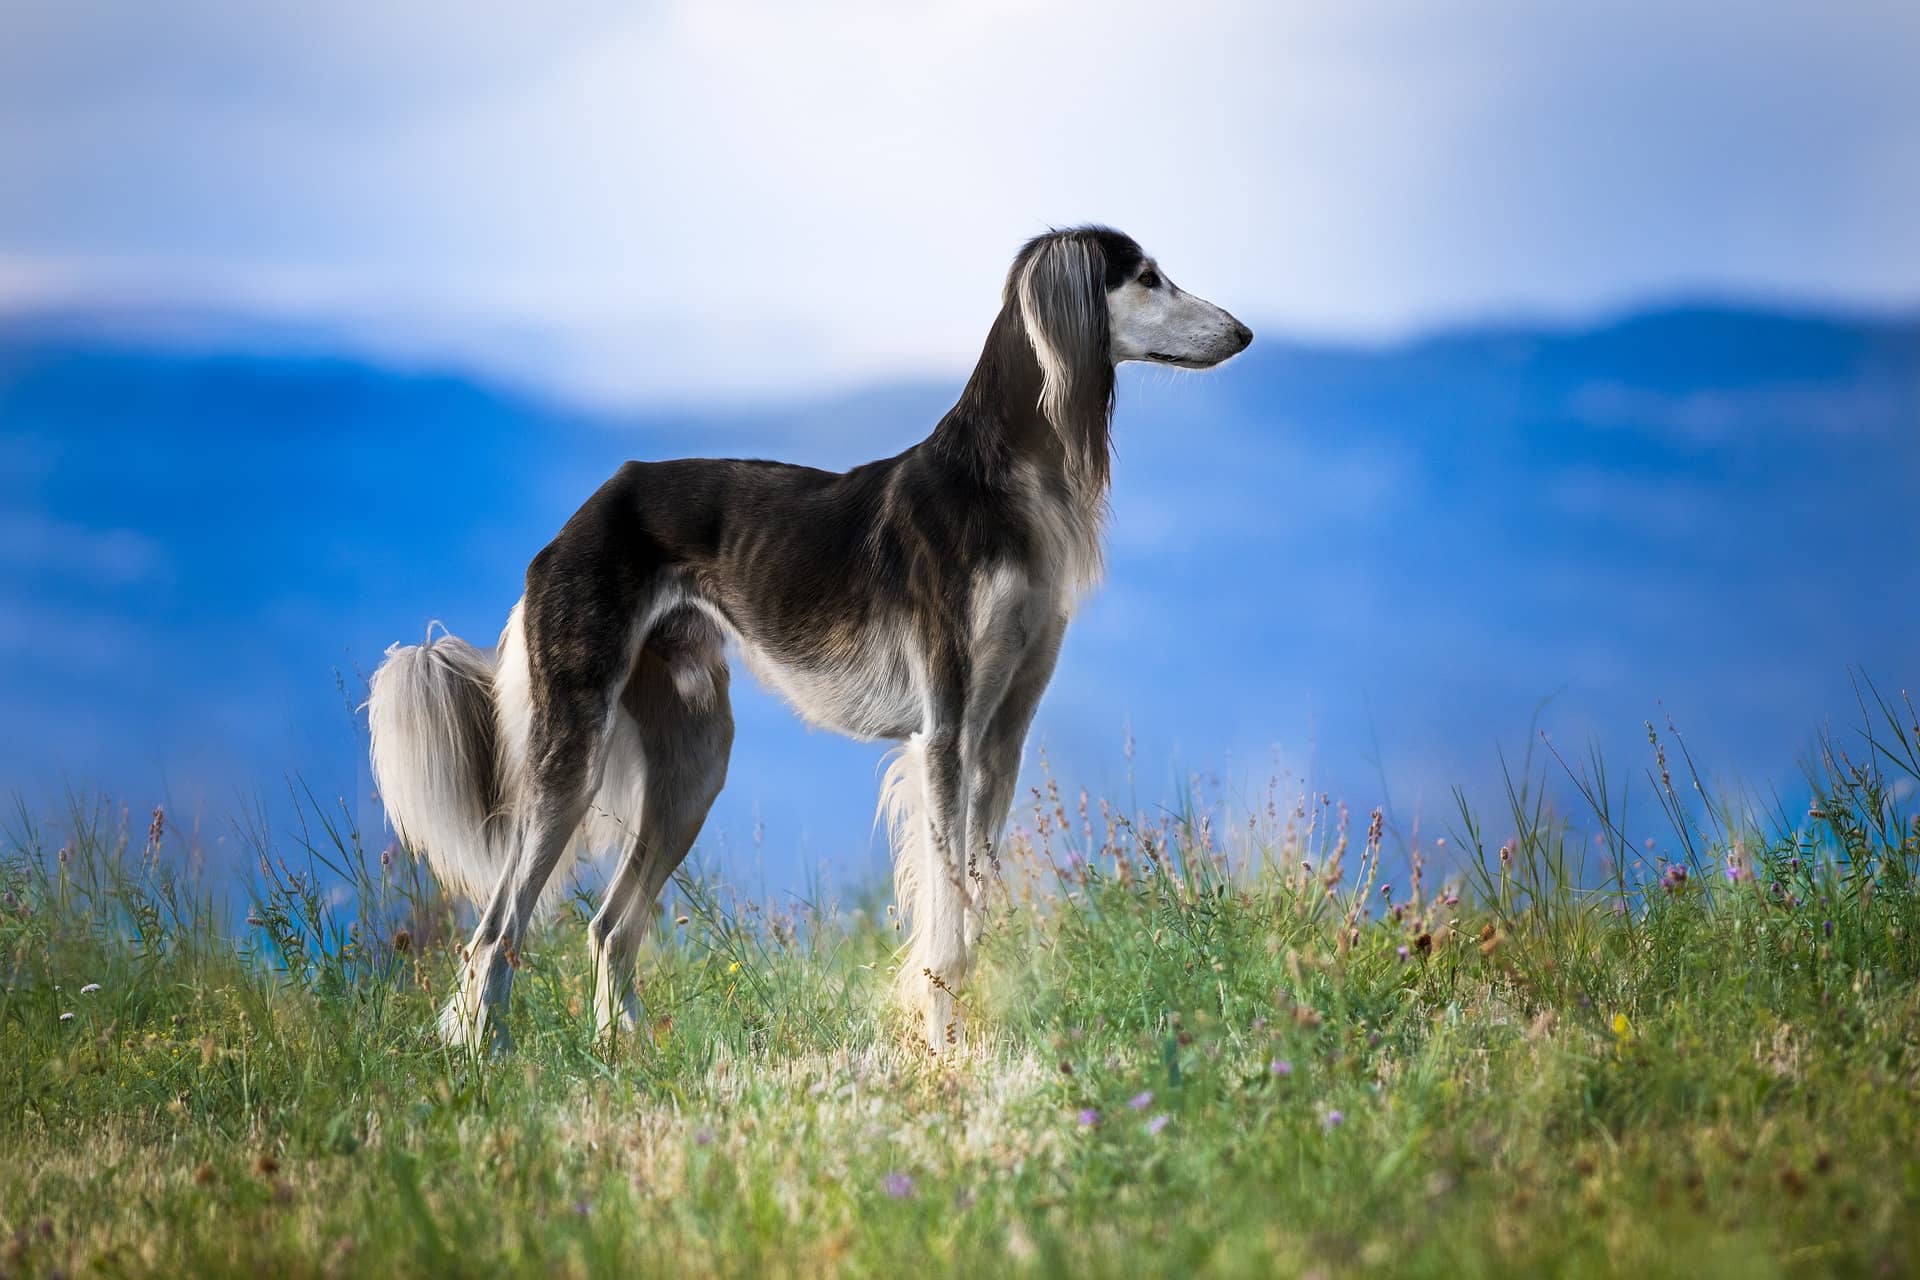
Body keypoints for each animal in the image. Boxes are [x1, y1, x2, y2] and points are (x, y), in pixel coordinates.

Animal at [366, 227, 1251, 1051]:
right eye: (1147, 277)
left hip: (696, 760)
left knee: (610, 926)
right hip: (574, 752)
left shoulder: (1002, 735)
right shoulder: (948, 731)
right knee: (496, 932)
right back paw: (485, 1059)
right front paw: (941, 1043)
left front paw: (965, 1038)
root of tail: (574, 524)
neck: (999, 479)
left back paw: (625, 1054)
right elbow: (946, 914)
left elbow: (975, 903)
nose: (1243, 332)